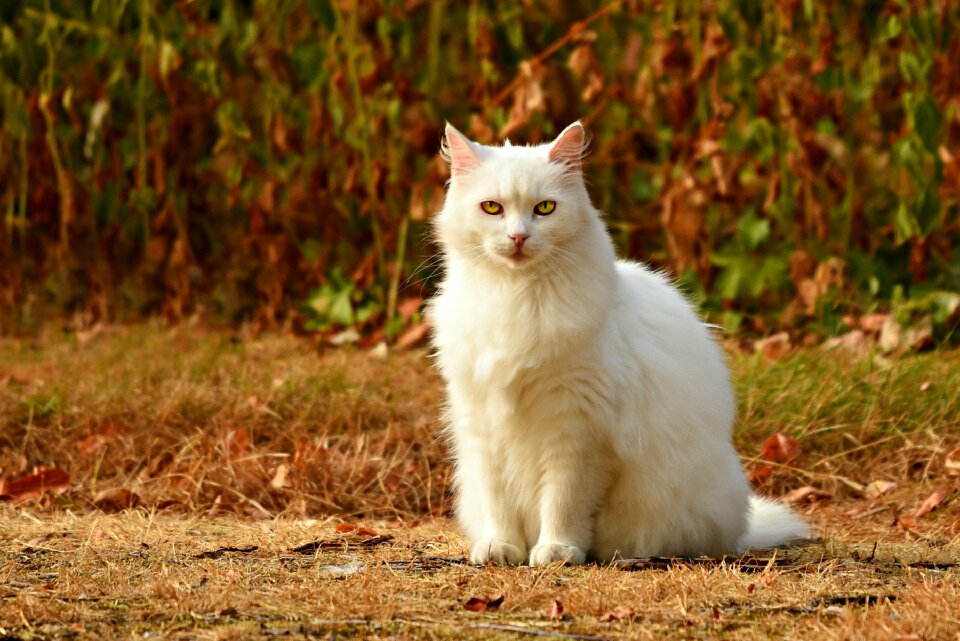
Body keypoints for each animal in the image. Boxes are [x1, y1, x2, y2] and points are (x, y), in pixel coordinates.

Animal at [430, 121, 808, 564]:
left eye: (545, 209)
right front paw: (500, 548)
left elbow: (563, 500)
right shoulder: (483, 421)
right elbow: (498, 501)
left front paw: (557, 551)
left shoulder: (577, 429)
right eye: (492, 208)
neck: (514, 297)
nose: (518, 237)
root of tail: (739, 530)